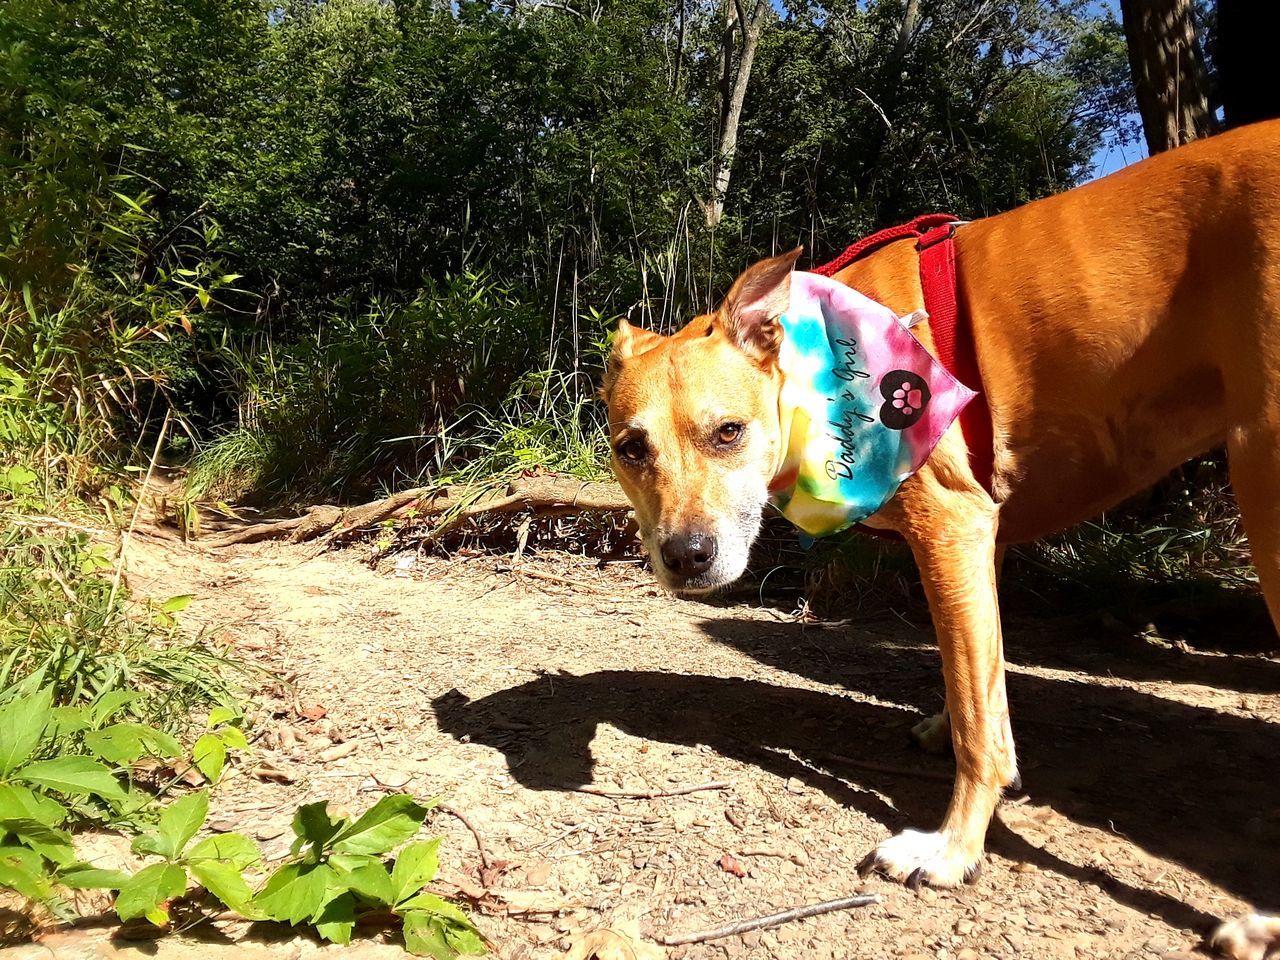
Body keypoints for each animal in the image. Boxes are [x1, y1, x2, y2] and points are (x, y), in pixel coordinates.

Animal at [599, 122, 1280, 960]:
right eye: (632, 449)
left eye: (729, 431)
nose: (686, 557)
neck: (815, 371)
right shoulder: (981, 541)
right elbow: (982, 690)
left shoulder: (951, 527)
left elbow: (976, 726)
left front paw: (954, 849)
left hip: (1264, 471)